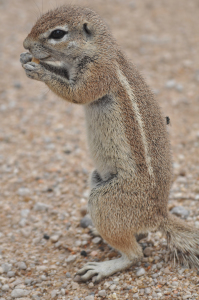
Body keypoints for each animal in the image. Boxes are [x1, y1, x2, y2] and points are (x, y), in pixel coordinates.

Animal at [19, 5, 199, 282]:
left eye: (57, 33)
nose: (25, 44)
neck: (100, 49)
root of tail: (158, 215)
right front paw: (26, 59)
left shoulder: (98, 74)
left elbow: (76, 94)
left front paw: (38, 70)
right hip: (97, 178)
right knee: (138, 234)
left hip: (105, 201)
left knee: (135, 254)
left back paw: (102, 267)